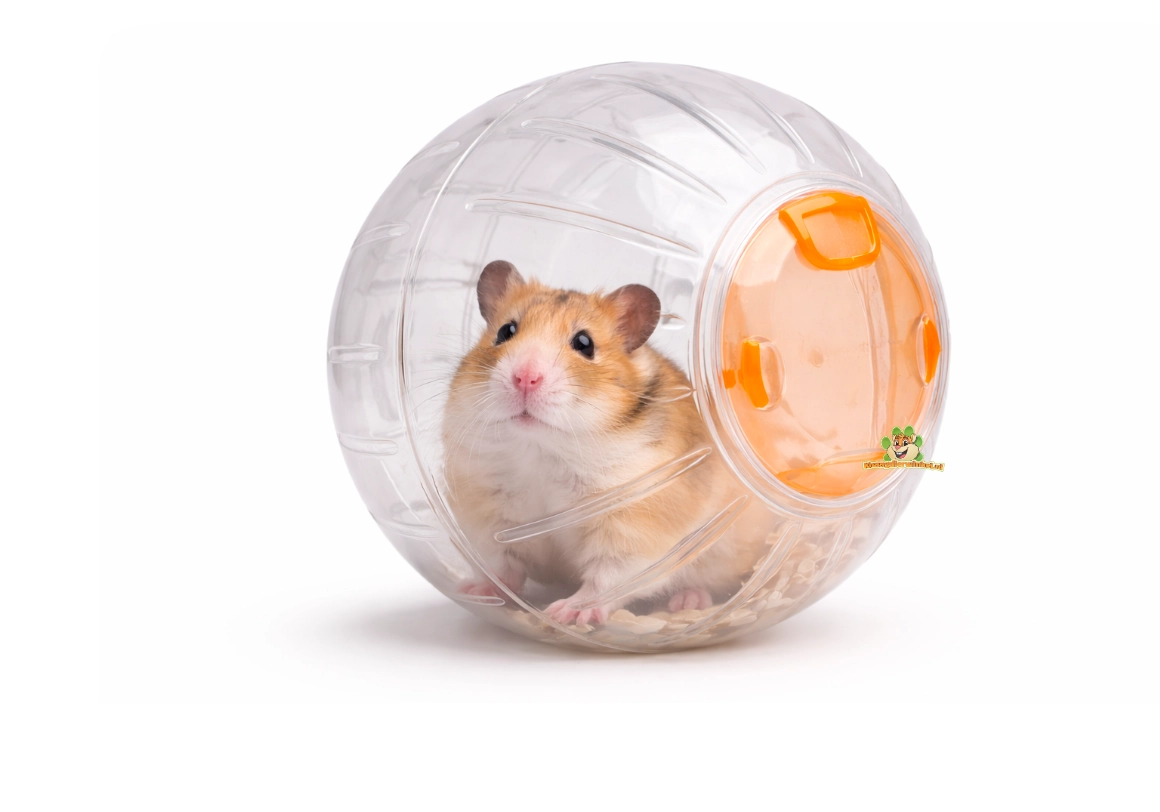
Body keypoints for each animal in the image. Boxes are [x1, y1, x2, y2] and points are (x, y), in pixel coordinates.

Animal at [442, 260, 756, 626]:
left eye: (584, 343)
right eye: (506, 331)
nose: (525, 378)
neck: (542, 448)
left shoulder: (633, 524)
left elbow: (606, 578)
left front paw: (567, 613)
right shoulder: (490, 515)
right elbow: (504, 566)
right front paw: (475, 590)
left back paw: (686, 601)